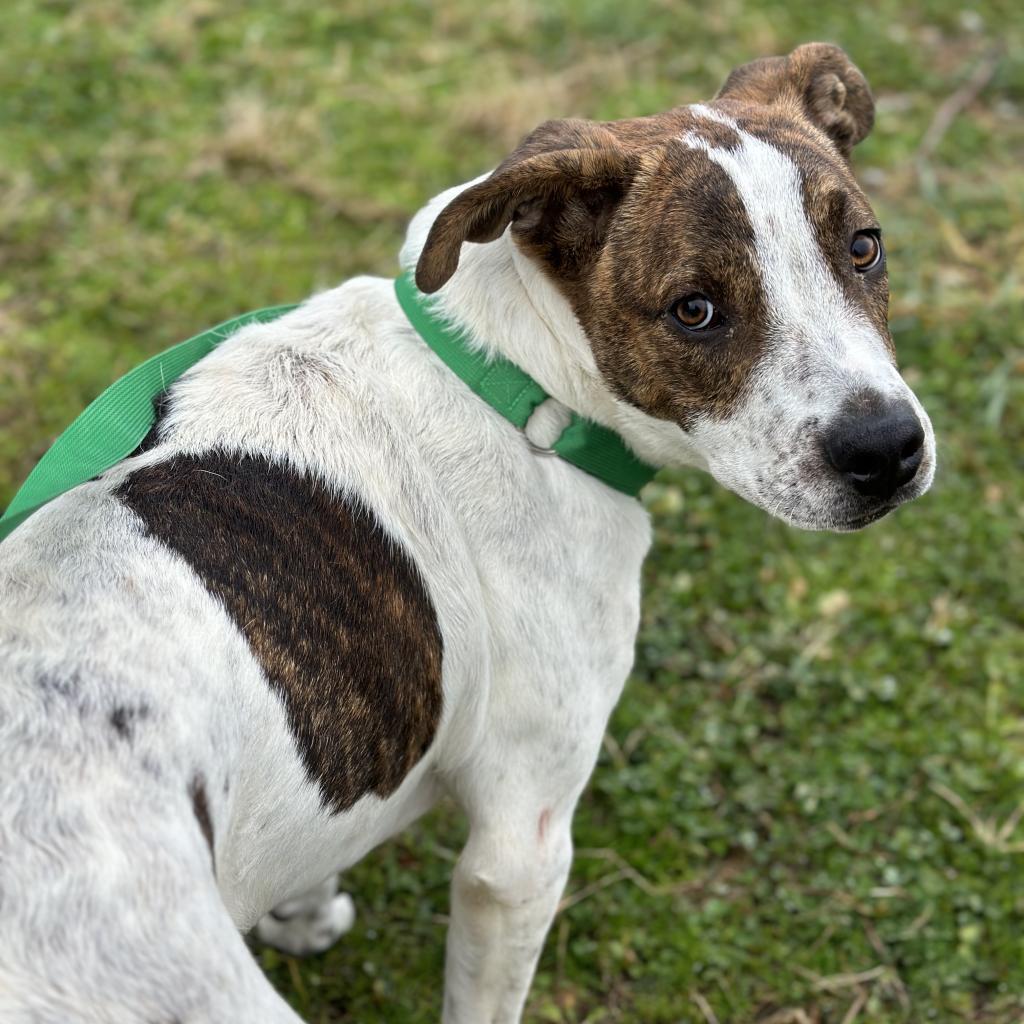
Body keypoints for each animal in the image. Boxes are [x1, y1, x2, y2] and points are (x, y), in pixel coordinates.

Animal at [0, 46, 937, 1024]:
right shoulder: (520, 848)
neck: (518, 386)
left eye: (863, 247)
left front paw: (302, 908)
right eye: (694, 310)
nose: (887, 450)